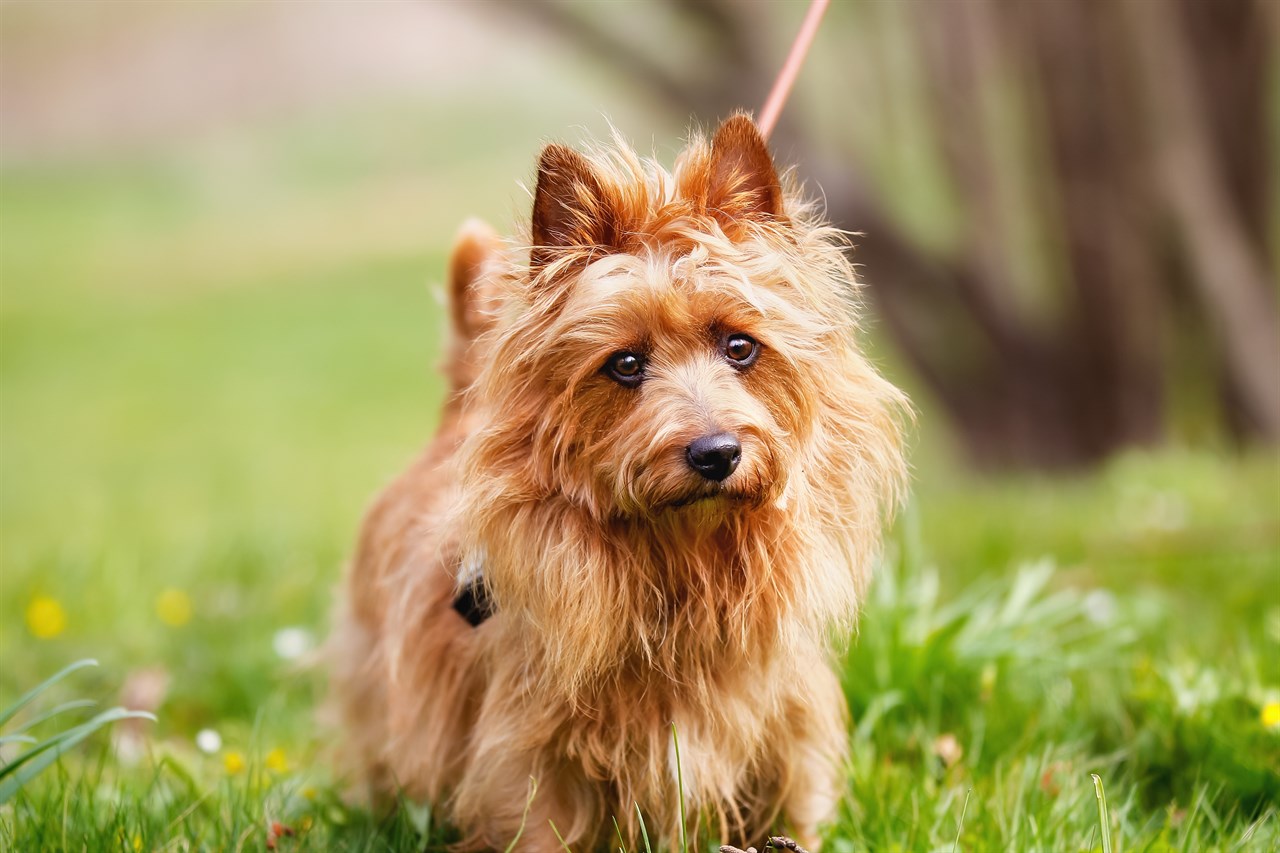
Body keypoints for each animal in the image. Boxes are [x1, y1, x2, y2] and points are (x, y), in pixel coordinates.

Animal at [330, 114, 911, 850]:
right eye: (626, 364)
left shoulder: (785, 731)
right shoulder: (529, 752)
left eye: (741, 346)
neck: (682, 562)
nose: (717, 452)